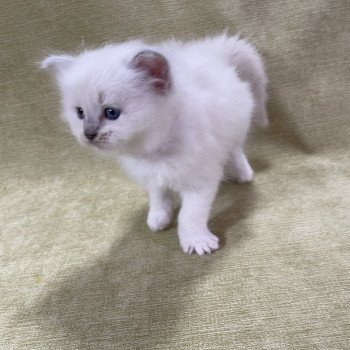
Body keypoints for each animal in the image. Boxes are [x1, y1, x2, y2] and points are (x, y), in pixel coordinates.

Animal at [41, 34, 266, 256]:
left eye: (112, 112)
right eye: (80, 112)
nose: (88, 134)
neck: (155, 151)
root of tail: (210, 52)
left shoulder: (201, 180)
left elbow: (189, 214)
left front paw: (196, 241)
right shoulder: (154, 176)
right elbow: (159, 197)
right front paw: (159, 219)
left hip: (236, 129)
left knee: (235, 149)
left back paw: (243, 174)